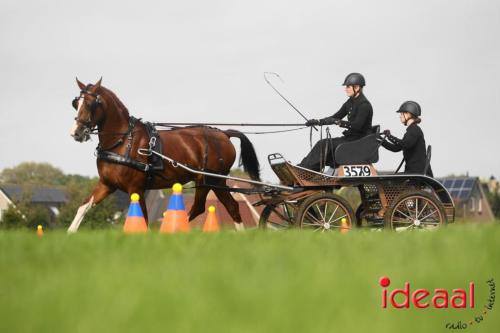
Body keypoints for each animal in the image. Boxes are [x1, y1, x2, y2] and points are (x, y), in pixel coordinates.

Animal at [68, 77, 260, 231]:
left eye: (90, 104)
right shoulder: (107, 184)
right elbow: (83, 207)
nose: (75, 132)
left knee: (212, 207)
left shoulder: (136, 188)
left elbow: (143, 219)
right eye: (76, 104)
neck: (122, 141)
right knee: (223, 207)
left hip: (211, 179)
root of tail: (223, 134)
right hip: (211, 182)